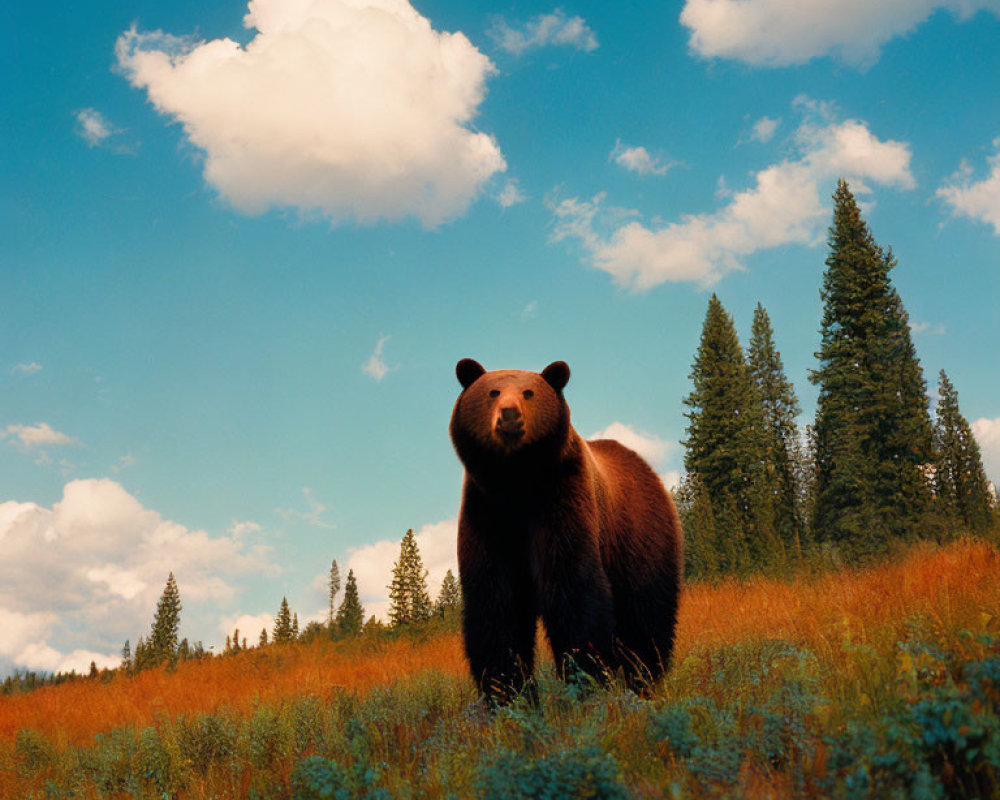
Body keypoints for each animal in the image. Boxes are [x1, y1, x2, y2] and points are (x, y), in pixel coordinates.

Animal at [450, 360, 684, 704]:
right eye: (493, 392)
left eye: (529, 392)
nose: (510, 415)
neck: (515, 484)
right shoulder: (488, 515)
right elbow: (495, 602)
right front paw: (505, 691)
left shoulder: (564, 501)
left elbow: (573, 587)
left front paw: (585, 675)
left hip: (640, 537)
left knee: (646, 615)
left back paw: (644, 677)